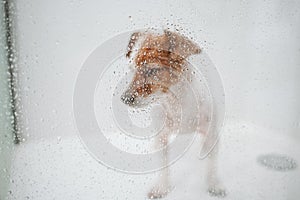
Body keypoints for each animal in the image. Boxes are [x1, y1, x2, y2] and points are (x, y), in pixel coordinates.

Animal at [120, 29, 226, 198]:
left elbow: (212, 164)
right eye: (131, 71)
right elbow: (164, 166)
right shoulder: (161, 138)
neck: (176, 102)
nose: (125, 98)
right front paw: (162, 188)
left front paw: (214, 184)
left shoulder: (211, 133)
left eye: (151, 70)